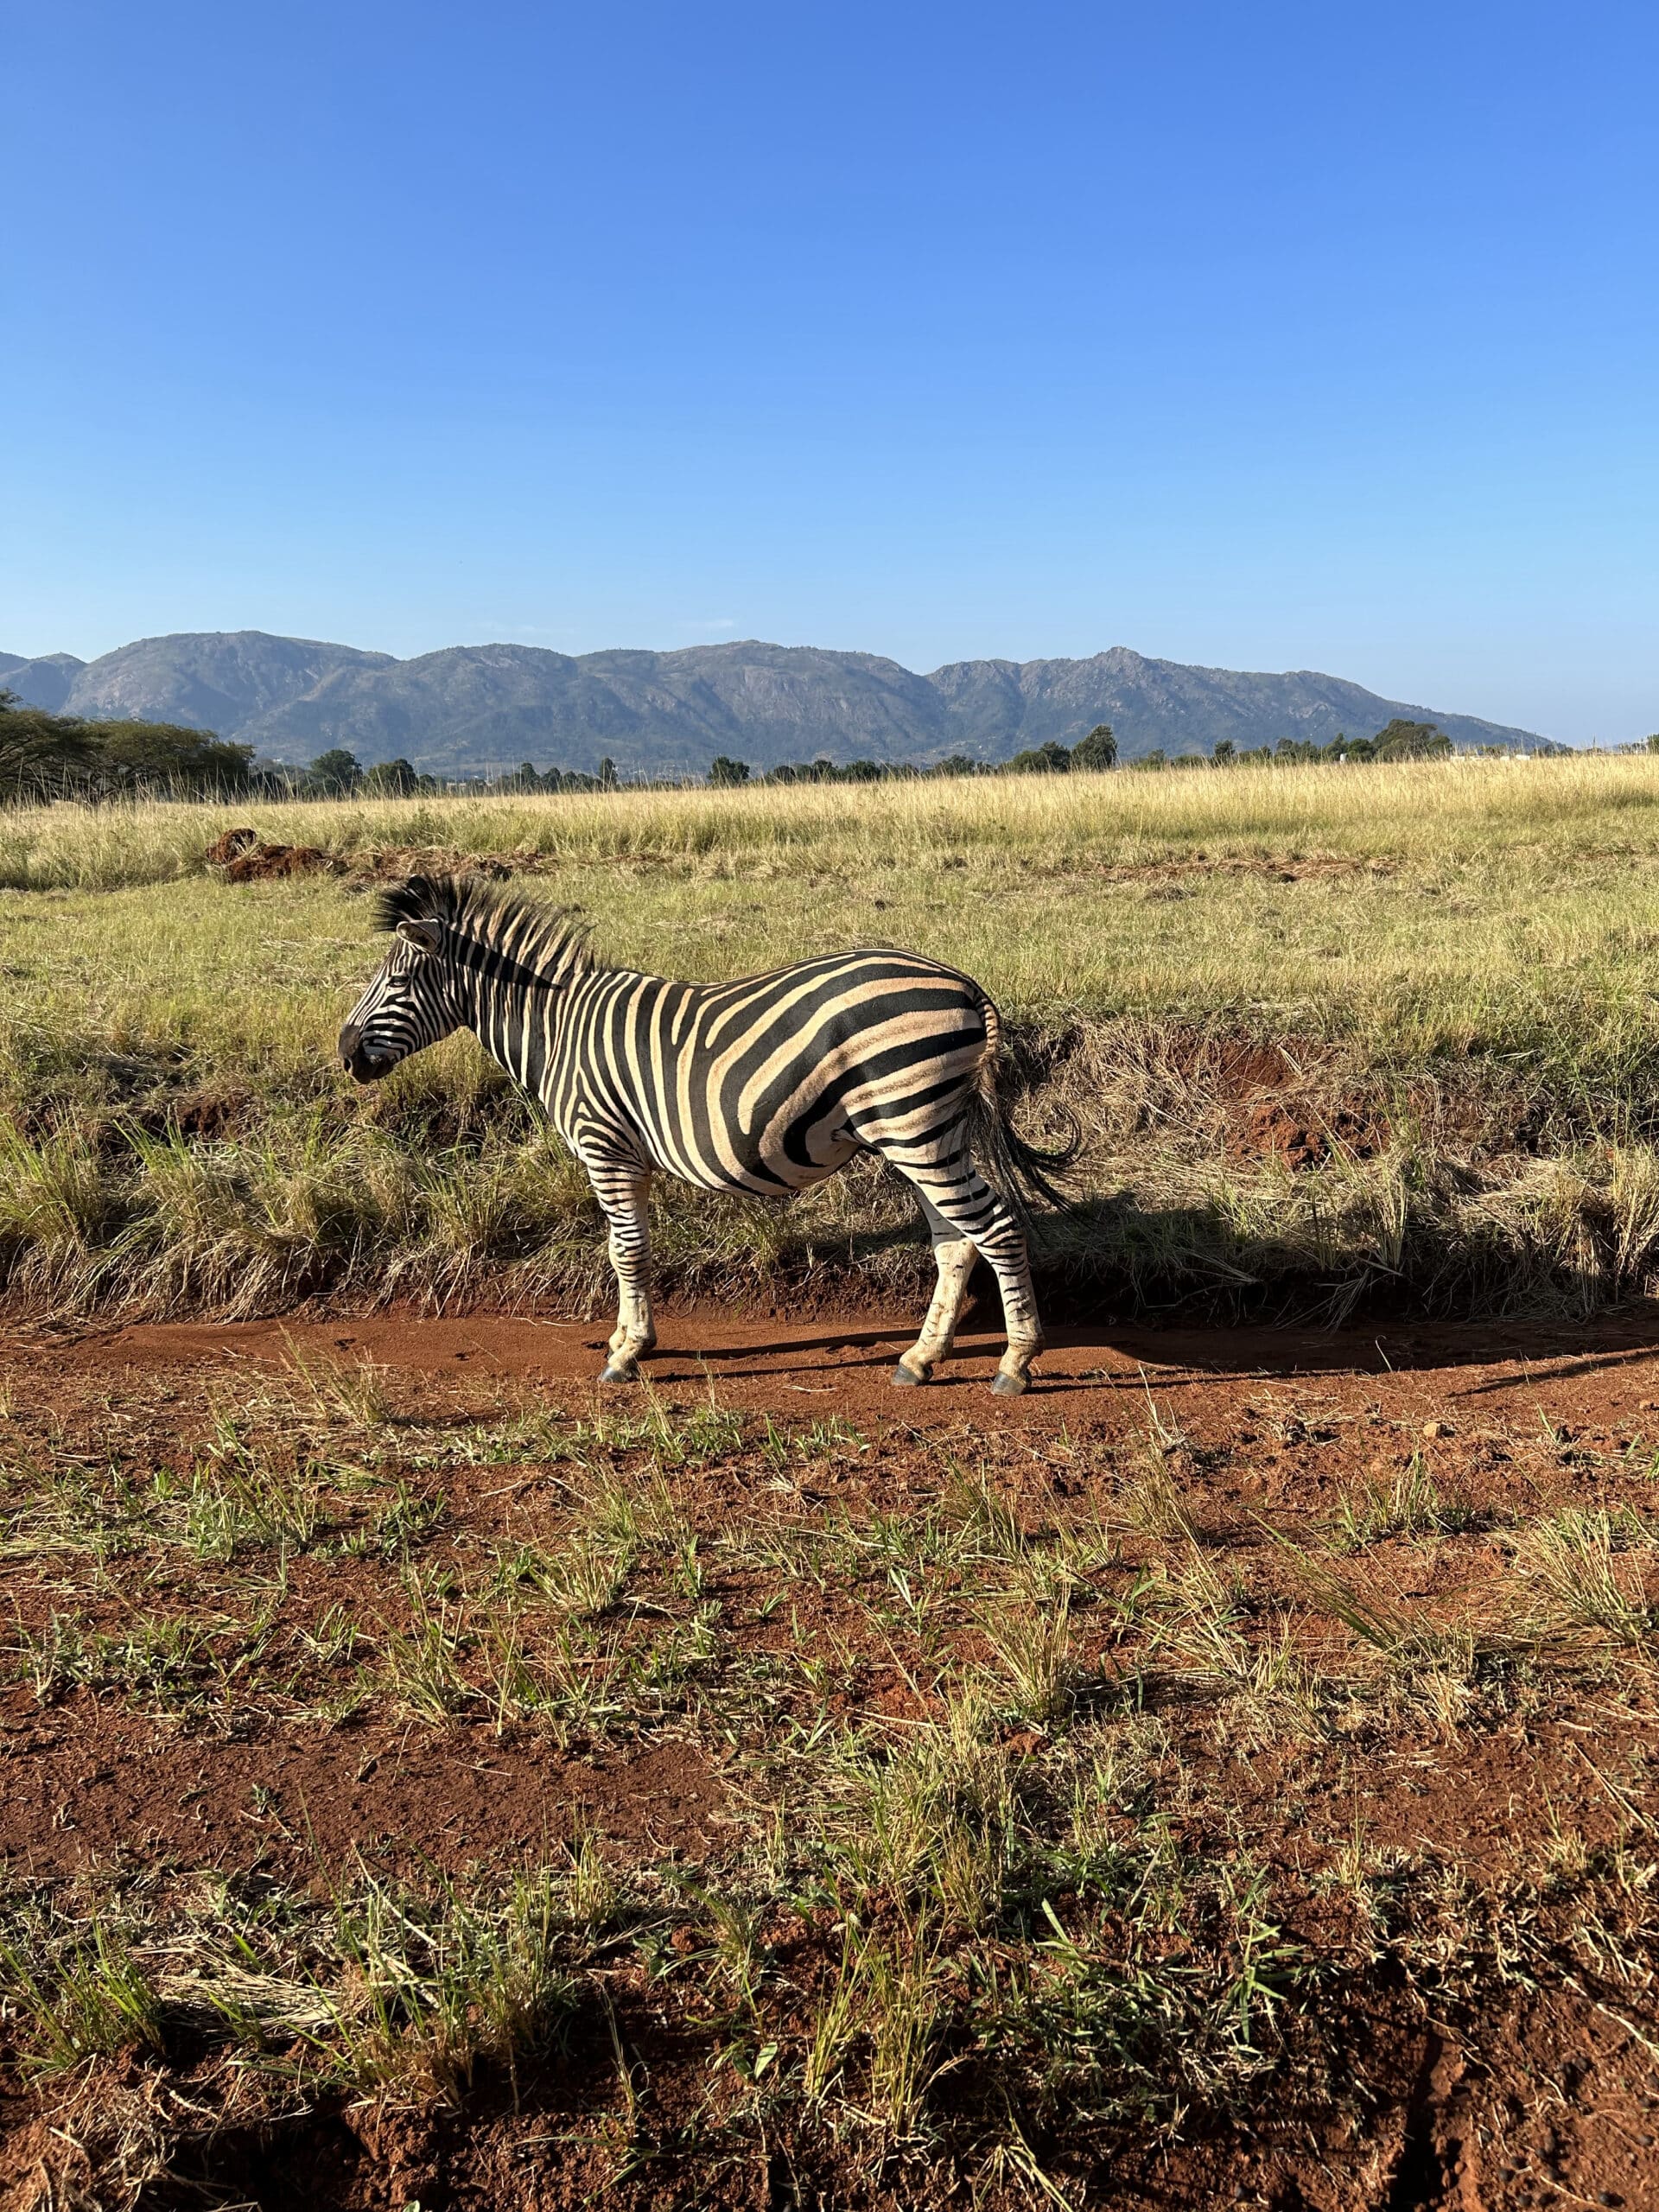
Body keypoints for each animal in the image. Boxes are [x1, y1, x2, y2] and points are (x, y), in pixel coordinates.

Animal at [338, 876, 1074, 1393]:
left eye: (396, 980)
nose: (345, 1054)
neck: (557, 1029)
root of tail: (963, 982)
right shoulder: (628, 1155)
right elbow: (626, 1250)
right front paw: (628, 1339)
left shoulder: (604, 1145)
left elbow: (625, 1251)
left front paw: (628, 1354)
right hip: (923, 1131)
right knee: (955, 1240)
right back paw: (921, 1358)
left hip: (914, 1124)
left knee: (995, 1228)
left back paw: (1015, 1363)